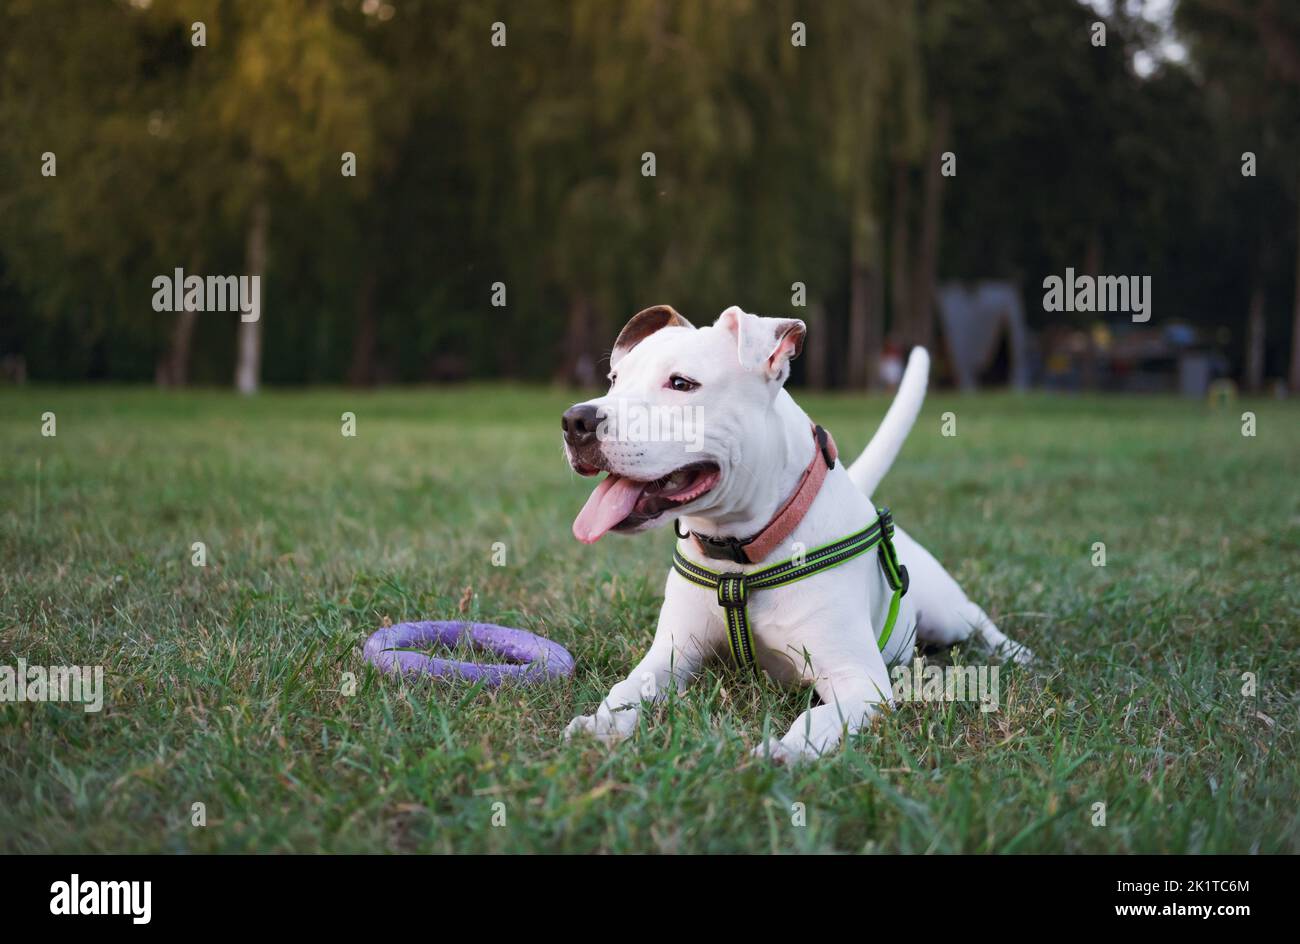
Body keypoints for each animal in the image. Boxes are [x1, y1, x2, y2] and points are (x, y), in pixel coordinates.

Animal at [564, 306, 1029, 764]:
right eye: (614, 379)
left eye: (681, 384)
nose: (576, 420)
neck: (741, 554)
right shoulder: (671, 653)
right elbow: (628, 687)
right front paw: (601, 723)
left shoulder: (860, 681)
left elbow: (817, 718)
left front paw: (785, 750)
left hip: (942, 612)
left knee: (975, 618)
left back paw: (1016, 653)